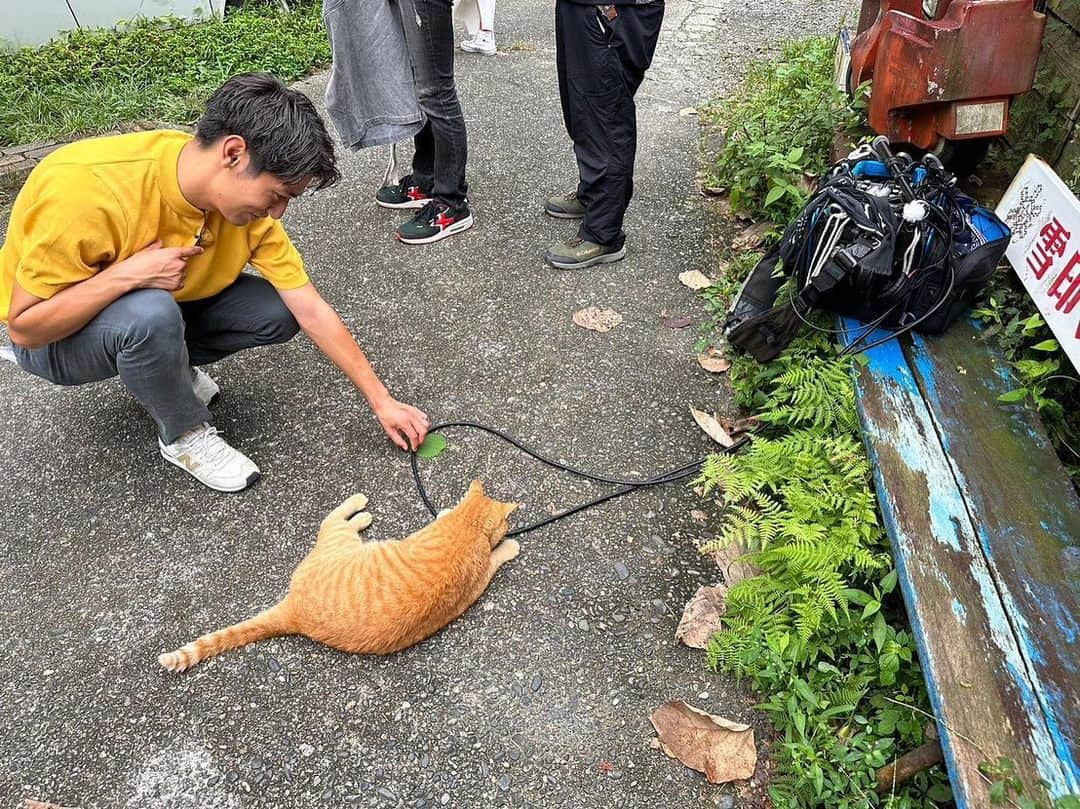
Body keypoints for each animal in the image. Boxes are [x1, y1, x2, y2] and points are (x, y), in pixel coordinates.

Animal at [157, 479, 520, 669]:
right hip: (342, 540)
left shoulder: (478, 576)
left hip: (340, 543)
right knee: (333, 518)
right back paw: (359, 506)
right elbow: (491, 548)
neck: (467, 526)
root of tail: (296, 612)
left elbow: (493, 553)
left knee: (333, 521)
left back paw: (360, 513)